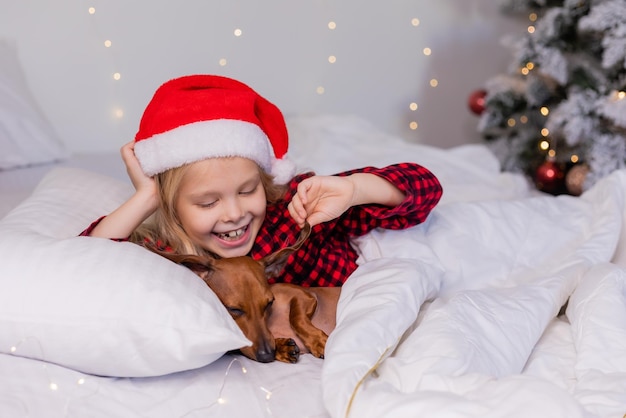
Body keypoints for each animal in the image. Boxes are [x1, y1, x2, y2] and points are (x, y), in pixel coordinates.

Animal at [154, 224, 338, 364]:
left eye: (269, 303)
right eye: (233, 310)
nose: (267, 355)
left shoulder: (305, 296)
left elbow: (296, 318)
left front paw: (318, 341)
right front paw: (282, 347)